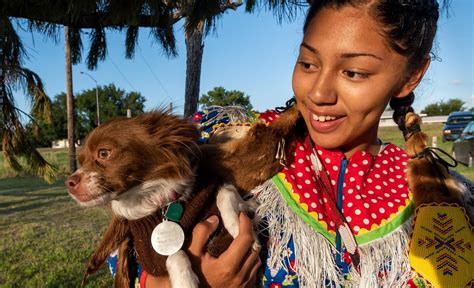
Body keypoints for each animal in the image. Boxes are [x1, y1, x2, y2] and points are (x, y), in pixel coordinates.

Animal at [65, 107, 302, 286]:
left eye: (104, 153)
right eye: (82, 161)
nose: (69, 182)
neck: (160, 202)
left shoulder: (229, 191)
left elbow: (226, 193)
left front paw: (236, 226)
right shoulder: (152, 256)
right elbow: (174, 254)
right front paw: (185, 280)